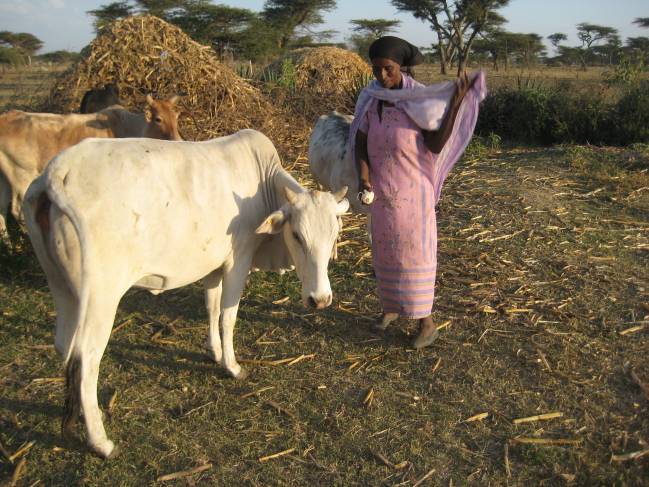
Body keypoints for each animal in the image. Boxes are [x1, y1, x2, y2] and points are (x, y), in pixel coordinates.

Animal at [0, 94, 182, 240]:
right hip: (21, 176)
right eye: (158, 119)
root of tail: (6, 117)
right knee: (17, 210)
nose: (178, 140)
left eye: (176, 117)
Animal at [22, 130, 350, 458]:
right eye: (296, 235)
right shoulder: (239, 260)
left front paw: (215, 351)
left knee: (64, 347)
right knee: (86, 360)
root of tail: (57, 172)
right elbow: (228, 316)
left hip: (62, 287)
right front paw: (232, 366)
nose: (319, 299)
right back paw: (100, 440)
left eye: (334, 234)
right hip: (101, 298)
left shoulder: (214, 267)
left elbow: (212, 307)